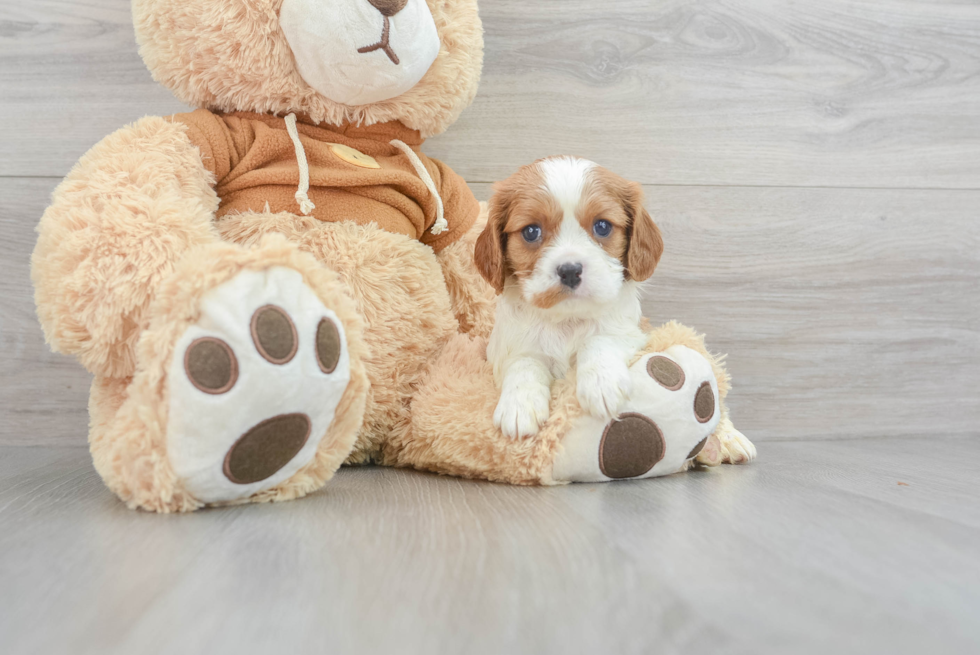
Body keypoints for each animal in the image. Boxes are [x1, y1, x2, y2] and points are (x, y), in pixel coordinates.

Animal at [476, 156, 668, 438]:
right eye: (531, 231)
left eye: (602, 226)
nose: (569, 271)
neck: (567, 320)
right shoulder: (506, 350)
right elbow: (523, 362)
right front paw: (518, 406)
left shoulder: (634, 334)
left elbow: (599, 340)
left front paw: (602, 383)